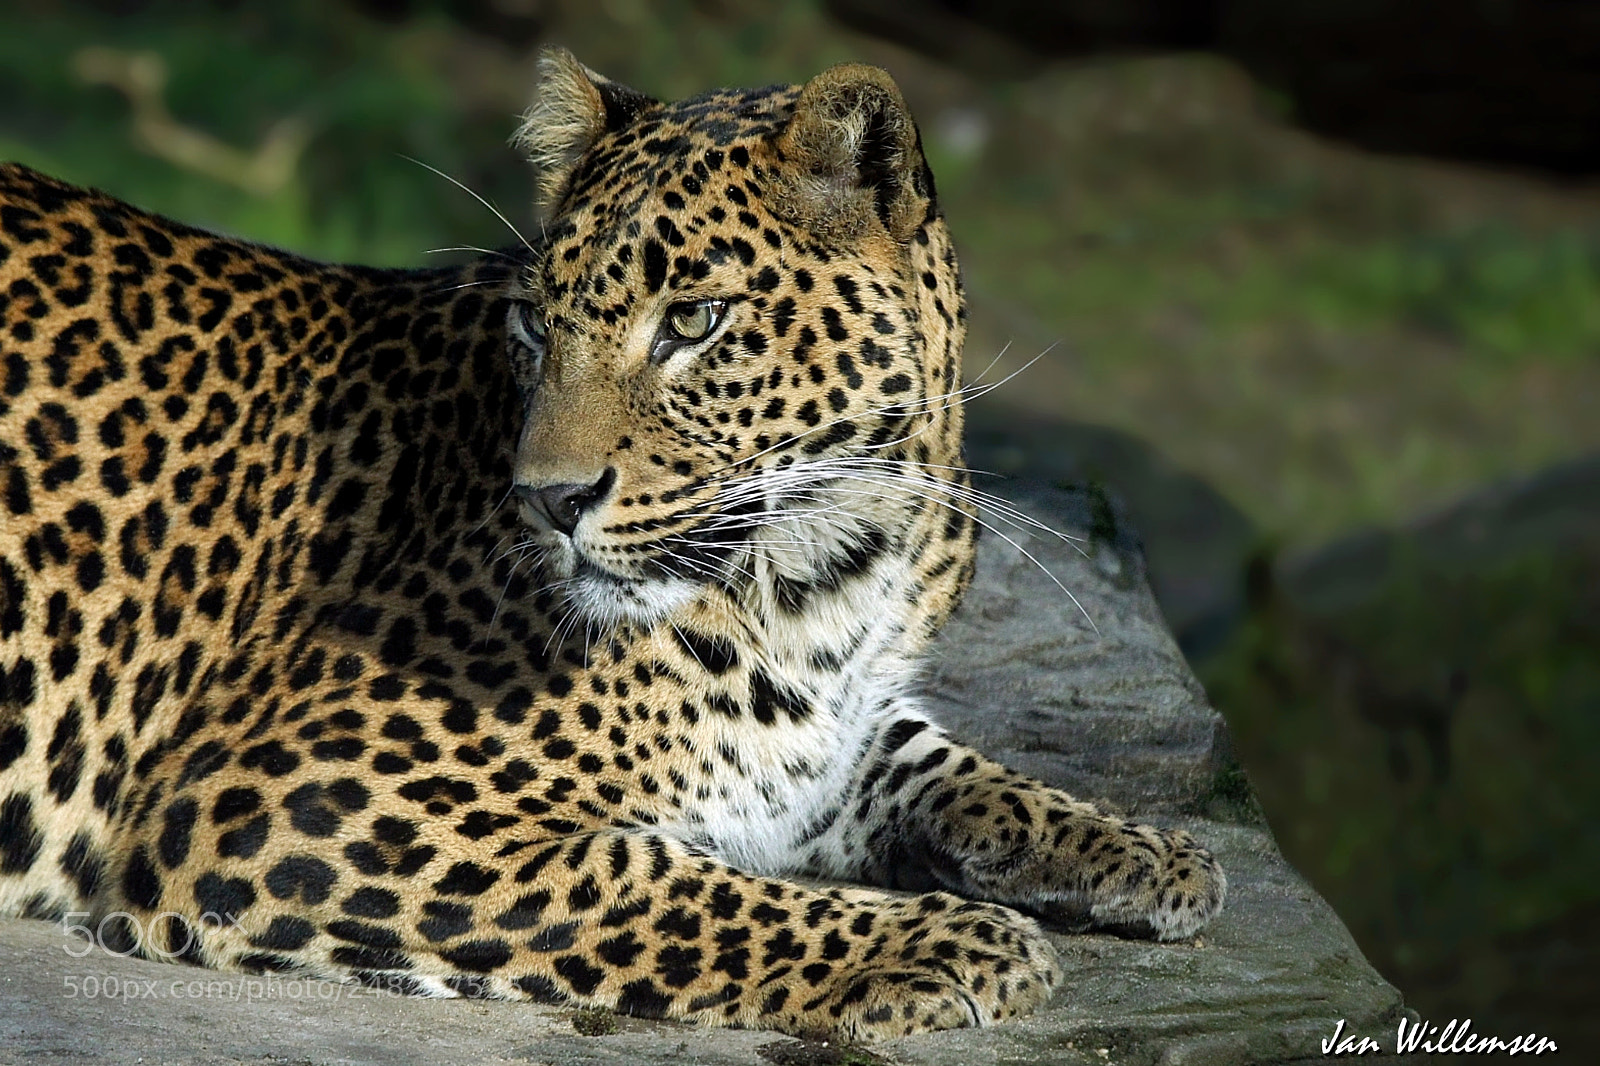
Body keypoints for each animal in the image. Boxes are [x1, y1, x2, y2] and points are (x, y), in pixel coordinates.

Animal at [0, 49, 1225, 1041]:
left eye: (693, 322)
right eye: (536, 324)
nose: (547, 500)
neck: (834, 567)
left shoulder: (835, 732)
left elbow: (949, 767)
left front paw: (1146, 851)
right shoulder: (288, 800)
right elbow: (664, 881)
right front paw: (942, 940)